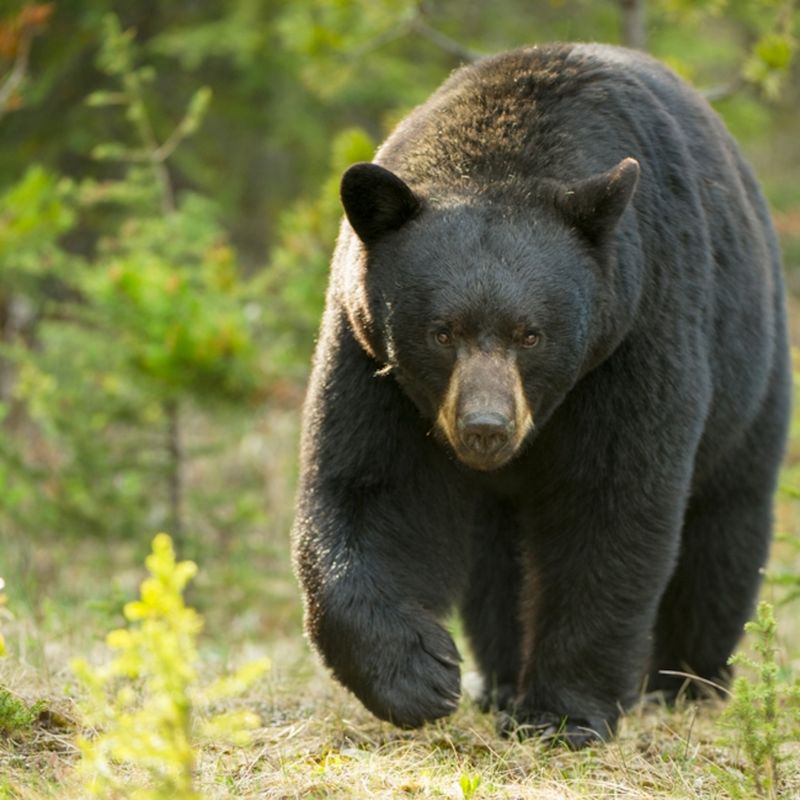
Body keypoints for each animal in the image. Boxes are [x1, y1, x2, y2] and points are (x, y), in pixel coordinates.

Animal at [290, 42, 792, 744]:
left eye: (530, 334)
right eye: (442, 331)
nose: (485, 427)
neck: (504, 153)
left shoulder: (636, 329)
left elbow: (611, 504)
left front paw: (563, 713)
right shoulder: (372, 357)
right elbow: (371, 485)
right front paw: (420, 674)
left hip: (749, 371)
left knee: (724, 529)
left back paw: (686, 683)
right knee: (497, 563)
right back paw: (500, 680)